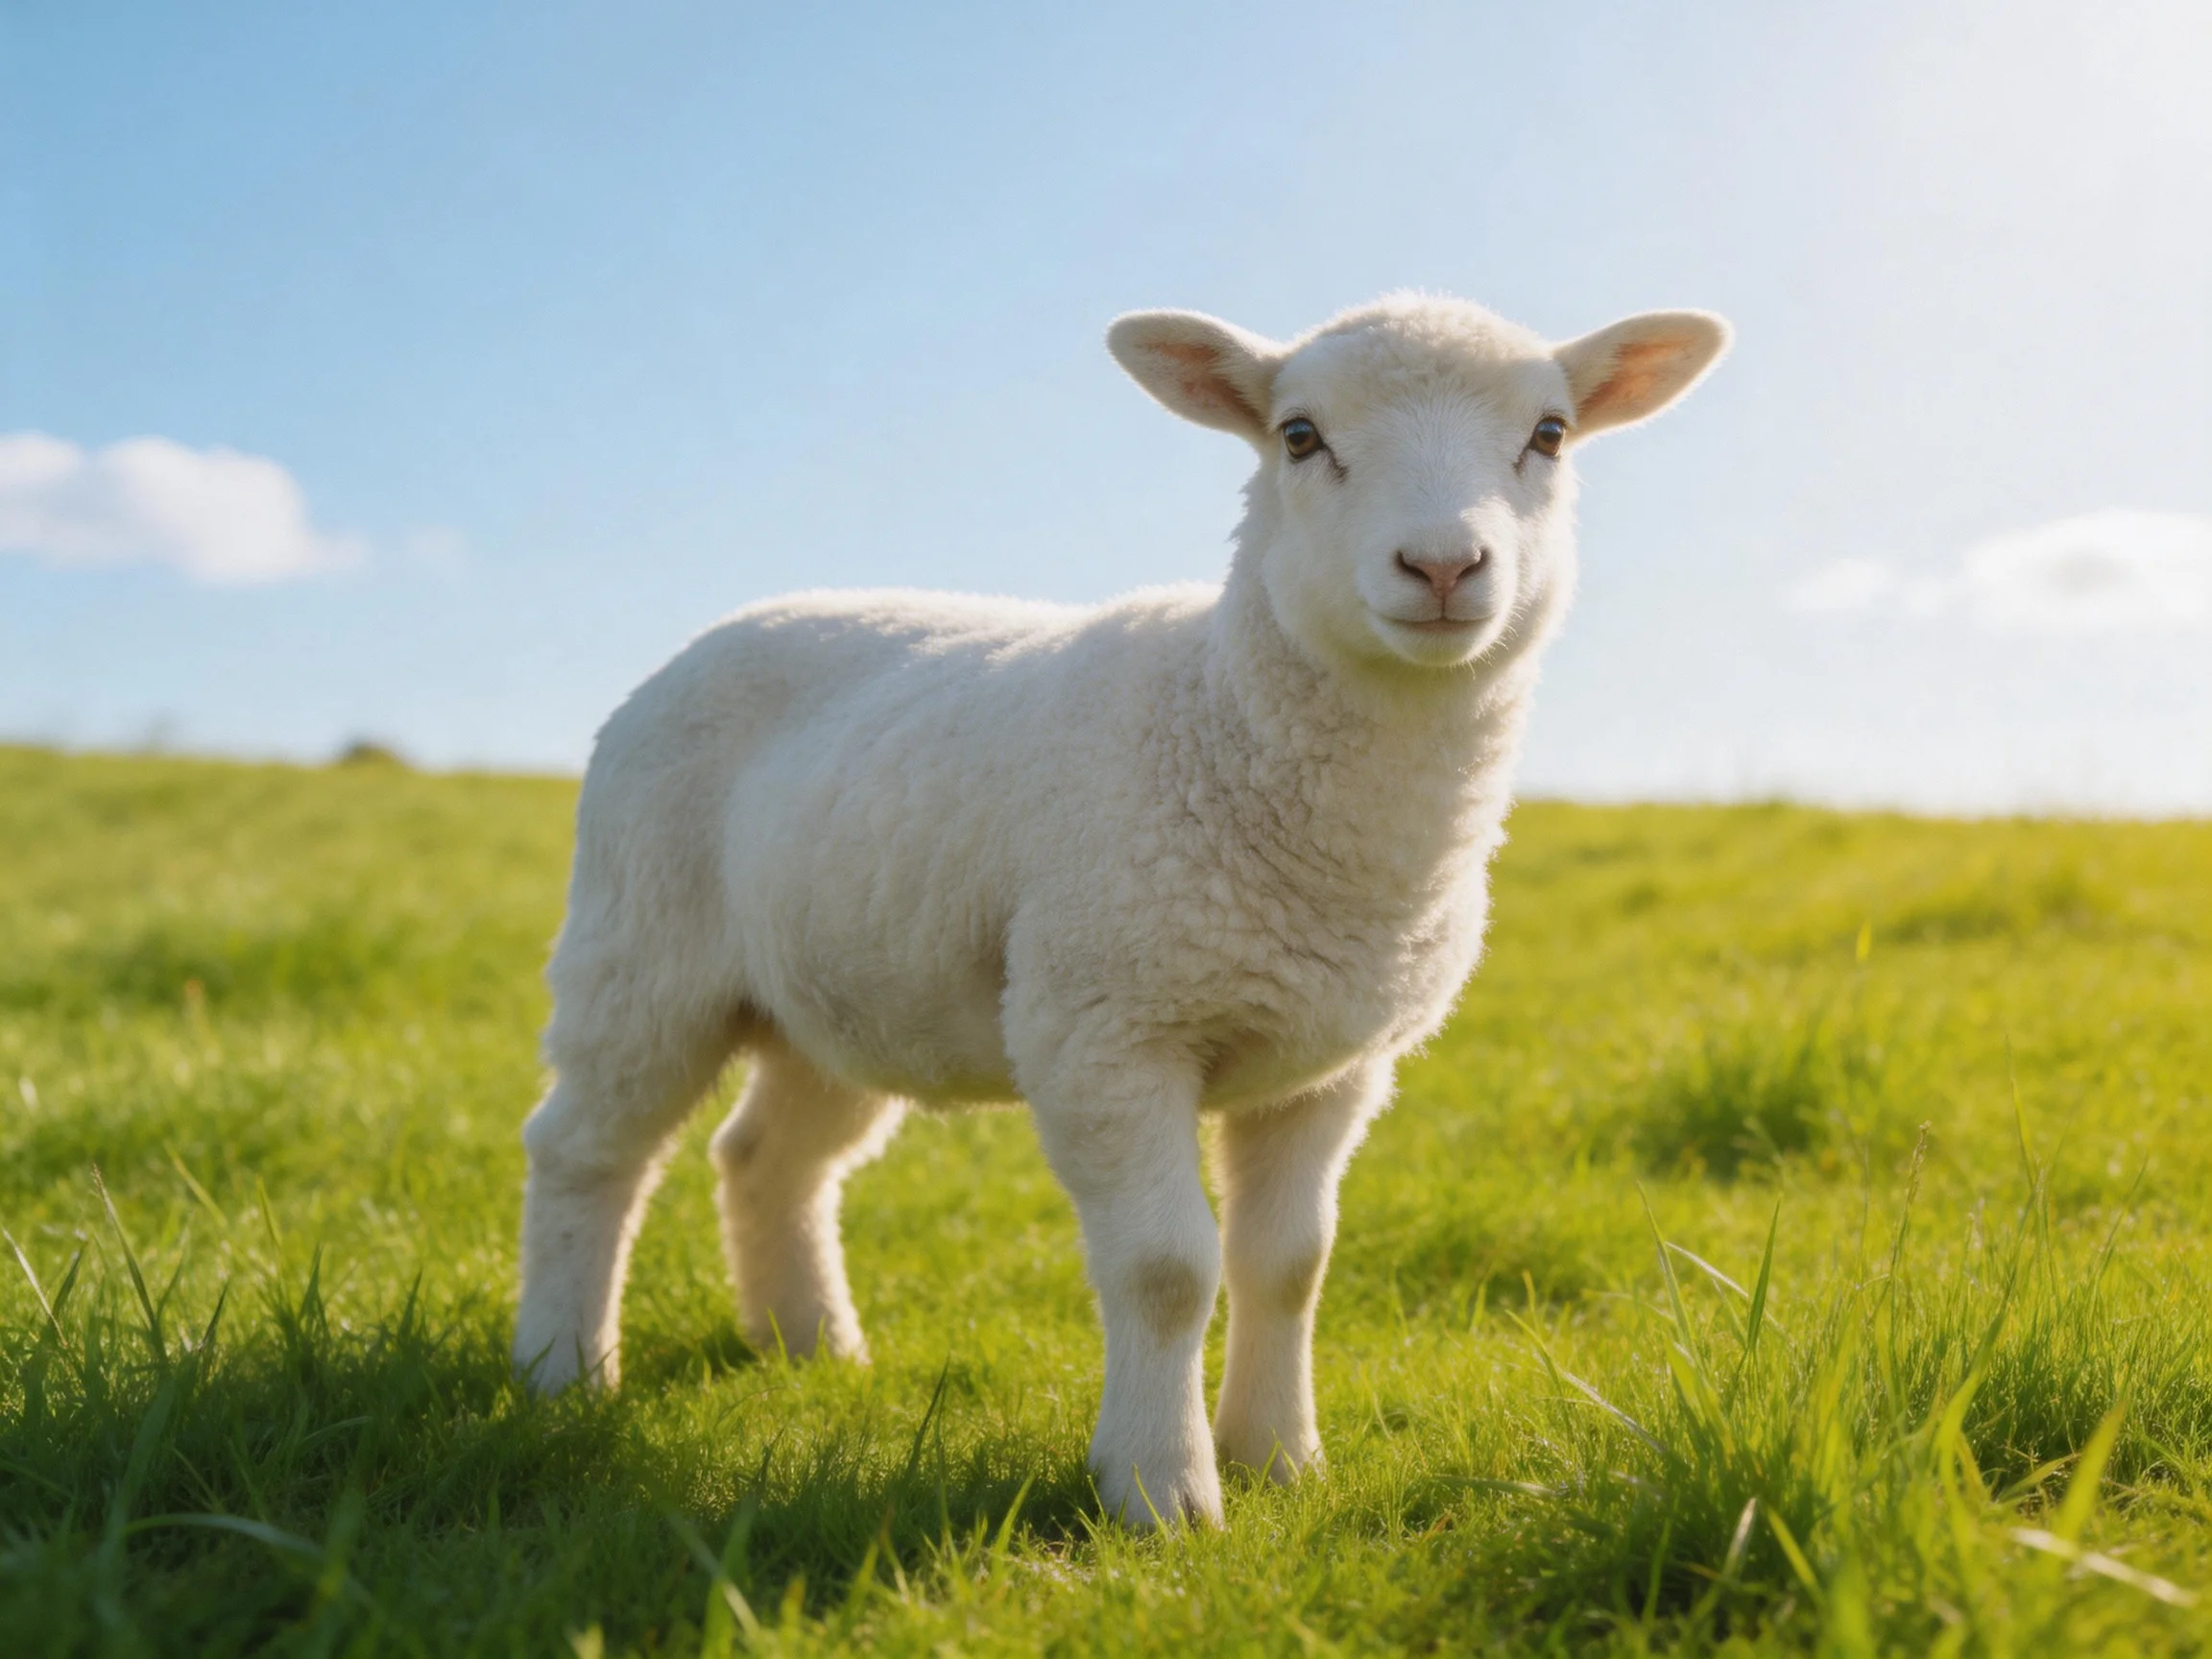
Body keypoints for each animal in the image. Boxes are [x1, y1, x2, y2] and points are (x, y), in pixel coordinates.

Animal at [512, 292, 1730, 1528]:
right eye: (1299, 436)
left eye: (1550, 435)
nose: (1442, 564)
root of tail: (731, 623)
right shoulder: (1105, 1030)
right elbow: (1167, 1270)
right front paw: (1162, 1491)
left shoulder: (1330, 1067)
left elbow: (1290, 1262)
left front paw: (1281, 1458)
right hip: (641, 946)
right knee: (584, 1150)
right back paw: (562, 1371)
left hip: (840, 988)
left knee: (770, 1158)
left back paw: (813, 1350)